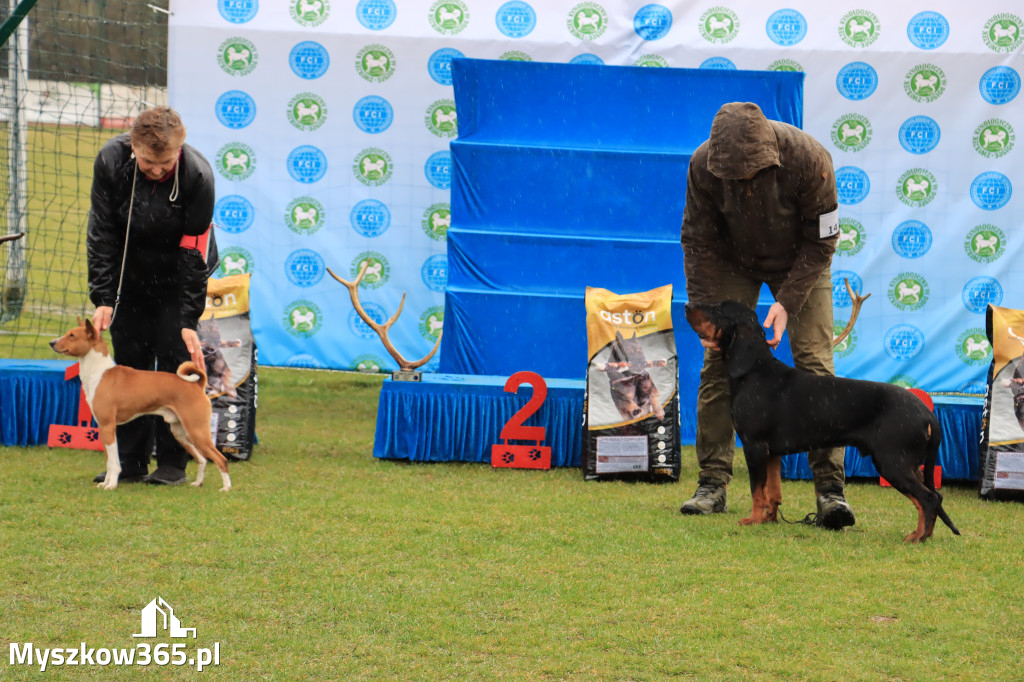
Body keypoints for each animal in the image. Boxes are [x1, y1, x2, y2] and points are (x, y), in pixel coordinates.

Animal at [49, 317, 232, 489]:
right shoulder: (102, 428)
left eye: (72, 335)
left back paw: (226, 488)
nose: (51, 343)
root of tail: (197, 385)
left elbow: (114, 463)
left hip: (197, 430)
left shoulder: (108, 426)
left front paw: (111, 485)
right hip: (181, 432)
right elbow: (109, 461)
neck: (100, 373)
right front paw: (105, 482)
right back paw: (198, 483)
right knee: (202, 459)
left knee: (220, 459)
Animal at [684, 299, 954, 540]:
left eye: (719, 310)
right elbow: (773, 492)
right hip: (908, 464)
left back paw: (918, 537)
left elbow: (757, 491)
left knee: (929, 498)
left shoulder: (755, 446)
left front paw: (753, 520)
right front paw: (769, 519)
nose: (687, 305)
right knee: (934, 498)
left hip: (892, 462)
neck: (754, 372)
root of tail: (927, 413)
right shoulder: (772, 453)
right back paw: (924, 534)